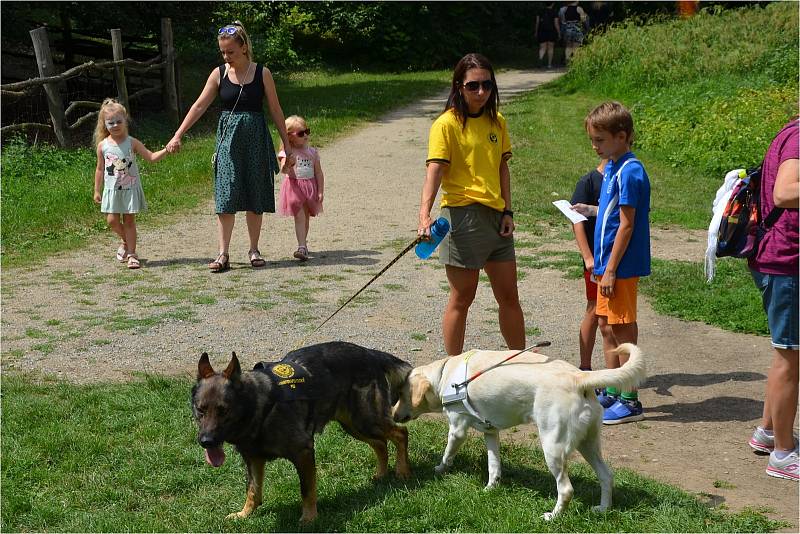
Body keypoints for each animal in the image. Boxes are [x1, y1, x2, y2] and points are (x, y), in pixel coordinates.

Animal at [190, 344, 410, 524]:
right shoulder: (253, 459)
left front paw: (309, 518)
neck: (259, 407)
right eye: (200, 410)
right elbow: (253, 490)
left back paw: (402, 471)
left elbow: (307, 489)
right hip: (355, 425)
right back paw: (381, 474)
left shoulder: (303, 453)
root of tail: (370, 353)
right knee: (380, 443)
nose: (206, 441)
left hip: (367, 420)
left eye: (223, 410)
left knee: (401, 433)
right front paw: (245, 514)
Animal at [390, 344, 648, 524]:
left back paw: (553, 517)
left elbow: (447, 454)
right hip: (588, 444)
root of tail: (579, 377)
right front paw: (490, 489)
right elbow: (494, 466)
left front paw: (439, 469)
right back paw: (603, 509)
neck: (445, 374)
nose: (391, 415)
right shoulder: (490, 432)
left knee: (566, 489)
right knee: (607, 476)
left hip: (553, 448)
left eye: (401, 393)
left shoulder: (457, 430)